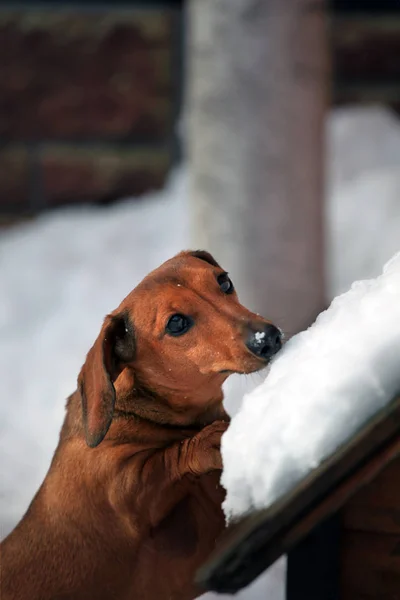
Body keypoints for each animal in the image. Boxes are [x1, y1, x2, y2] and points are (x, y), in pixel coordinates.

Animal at [0, 251, 282, 596]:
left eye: (224, 281)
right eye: (176, 323)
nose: (268, 338)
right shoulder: (125, 493)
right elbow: (166, 460)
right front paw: (210, 440)